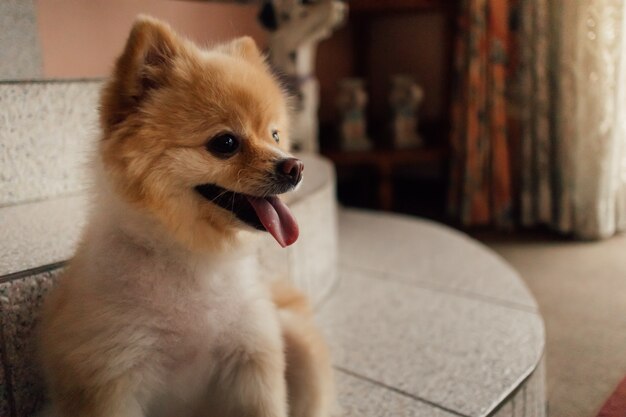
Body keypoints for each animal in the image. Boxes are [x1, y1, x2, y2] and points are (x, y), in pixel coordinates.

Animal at [36, 14, 334, 414]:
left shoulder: (253, 358)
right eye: (225, 143)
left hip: (296, 338)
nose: (295, 166)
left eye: (274, 136)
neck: (194, 257)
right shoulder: (112, 374)